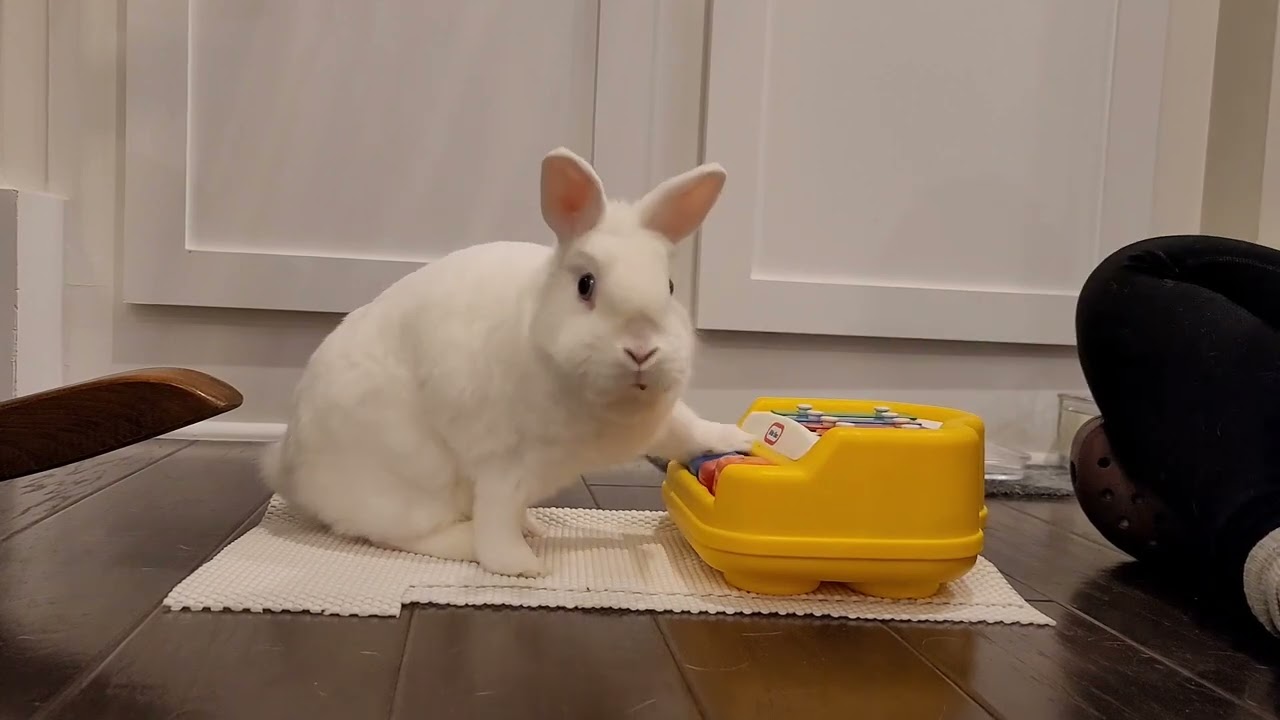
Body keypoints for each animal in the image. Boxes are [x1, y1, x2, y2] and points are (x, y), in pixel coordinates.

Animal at [261, 147, 754, 577]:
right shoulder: (503, 461)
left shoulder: (664, 422)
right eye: (586, 284)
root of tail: (287, 466)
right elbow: (497, 517)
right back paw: (474, 542)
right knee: (404, 533)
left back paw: (531, 525)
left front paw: (742, 439)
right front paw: (520, 567)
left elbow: (692, 431)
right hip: (411, 481)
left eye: (669, 287)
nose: (641, 350)